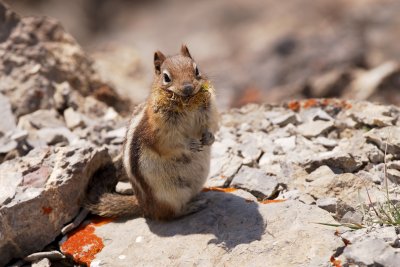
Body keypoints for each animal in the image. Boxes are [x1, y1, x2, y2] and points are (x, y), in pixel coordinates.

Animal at [87, 45, 219, 220]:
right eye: (166, 77)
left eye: (196, 69)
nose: (188, 88)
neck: (187, 103)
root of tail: (144, 206)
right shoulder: (159, 131)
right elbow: (170, 143)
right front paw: (190, 144)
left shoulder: (208, 113)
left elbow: (210, 127)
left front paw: (209, 137)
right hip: (169, 194)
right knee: (171, 213)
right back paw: (192, 207)